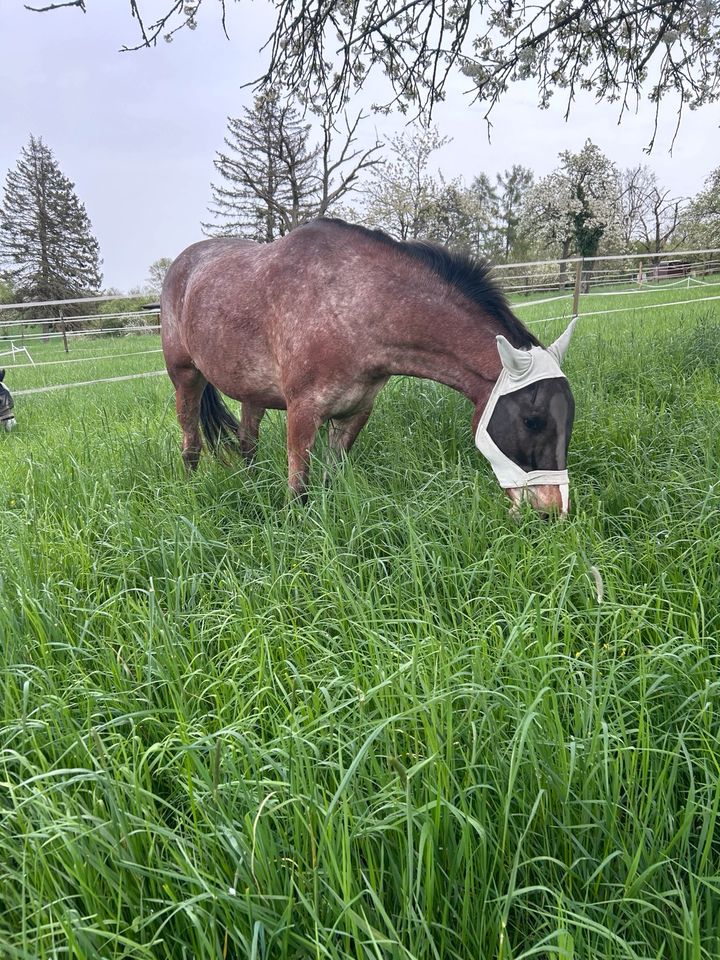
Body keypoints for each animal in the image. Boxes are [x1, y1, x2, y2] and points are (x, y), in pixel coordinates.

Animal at [160, 218, 576, 512]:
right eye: (532, 421)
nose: (552, 511)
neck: (350, 306)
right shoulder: (303, 413)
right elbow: (299, 491)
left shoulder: (354, 414)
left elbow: (329, 480)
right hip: (186, 378)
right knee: (191, 444)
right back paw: (191, 492)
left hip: (253, 394)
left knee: (247, 444)